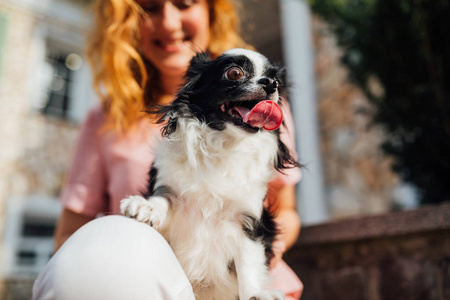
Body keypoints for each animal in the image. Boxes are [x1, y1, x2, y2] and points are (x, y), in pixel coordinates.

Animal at [121, 49, 300, 300]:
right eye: (234, 73)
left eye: (278, 83)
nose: (270, 84)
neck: (224, 145)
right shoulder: (171, 194)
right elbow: (163, 199)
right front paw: (146, 206)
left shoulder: (250, 223)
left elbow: (249, 263)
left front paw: (256, 294)